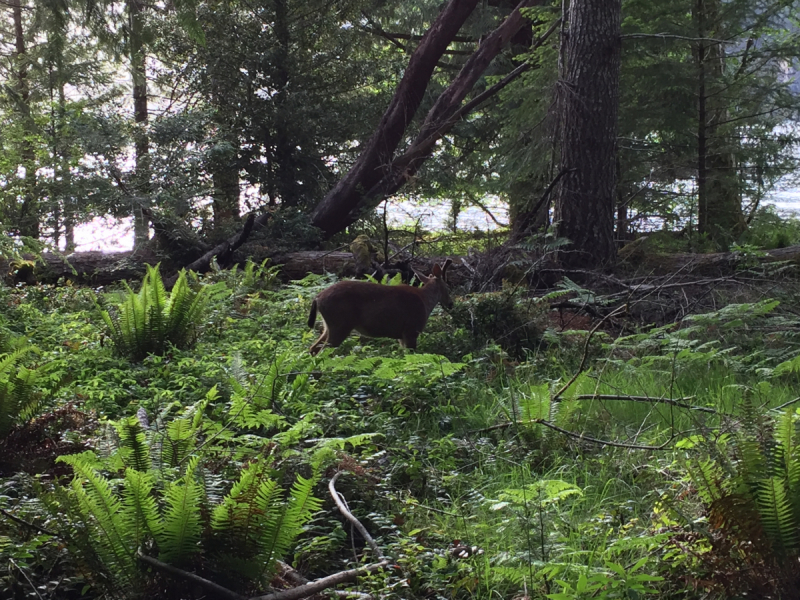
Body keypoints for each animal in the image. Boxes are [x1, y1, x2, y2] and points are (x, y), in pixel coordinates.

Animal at [310, 258, 454, 354]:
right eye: (447, 287)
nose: (451, 304)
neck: (425, 300)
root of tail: (318, 297)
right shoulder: (411, 329)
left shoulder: (401, 335)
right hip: (340, 324)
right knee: (322, 352)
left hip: (329, 325)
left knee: (313, 348)